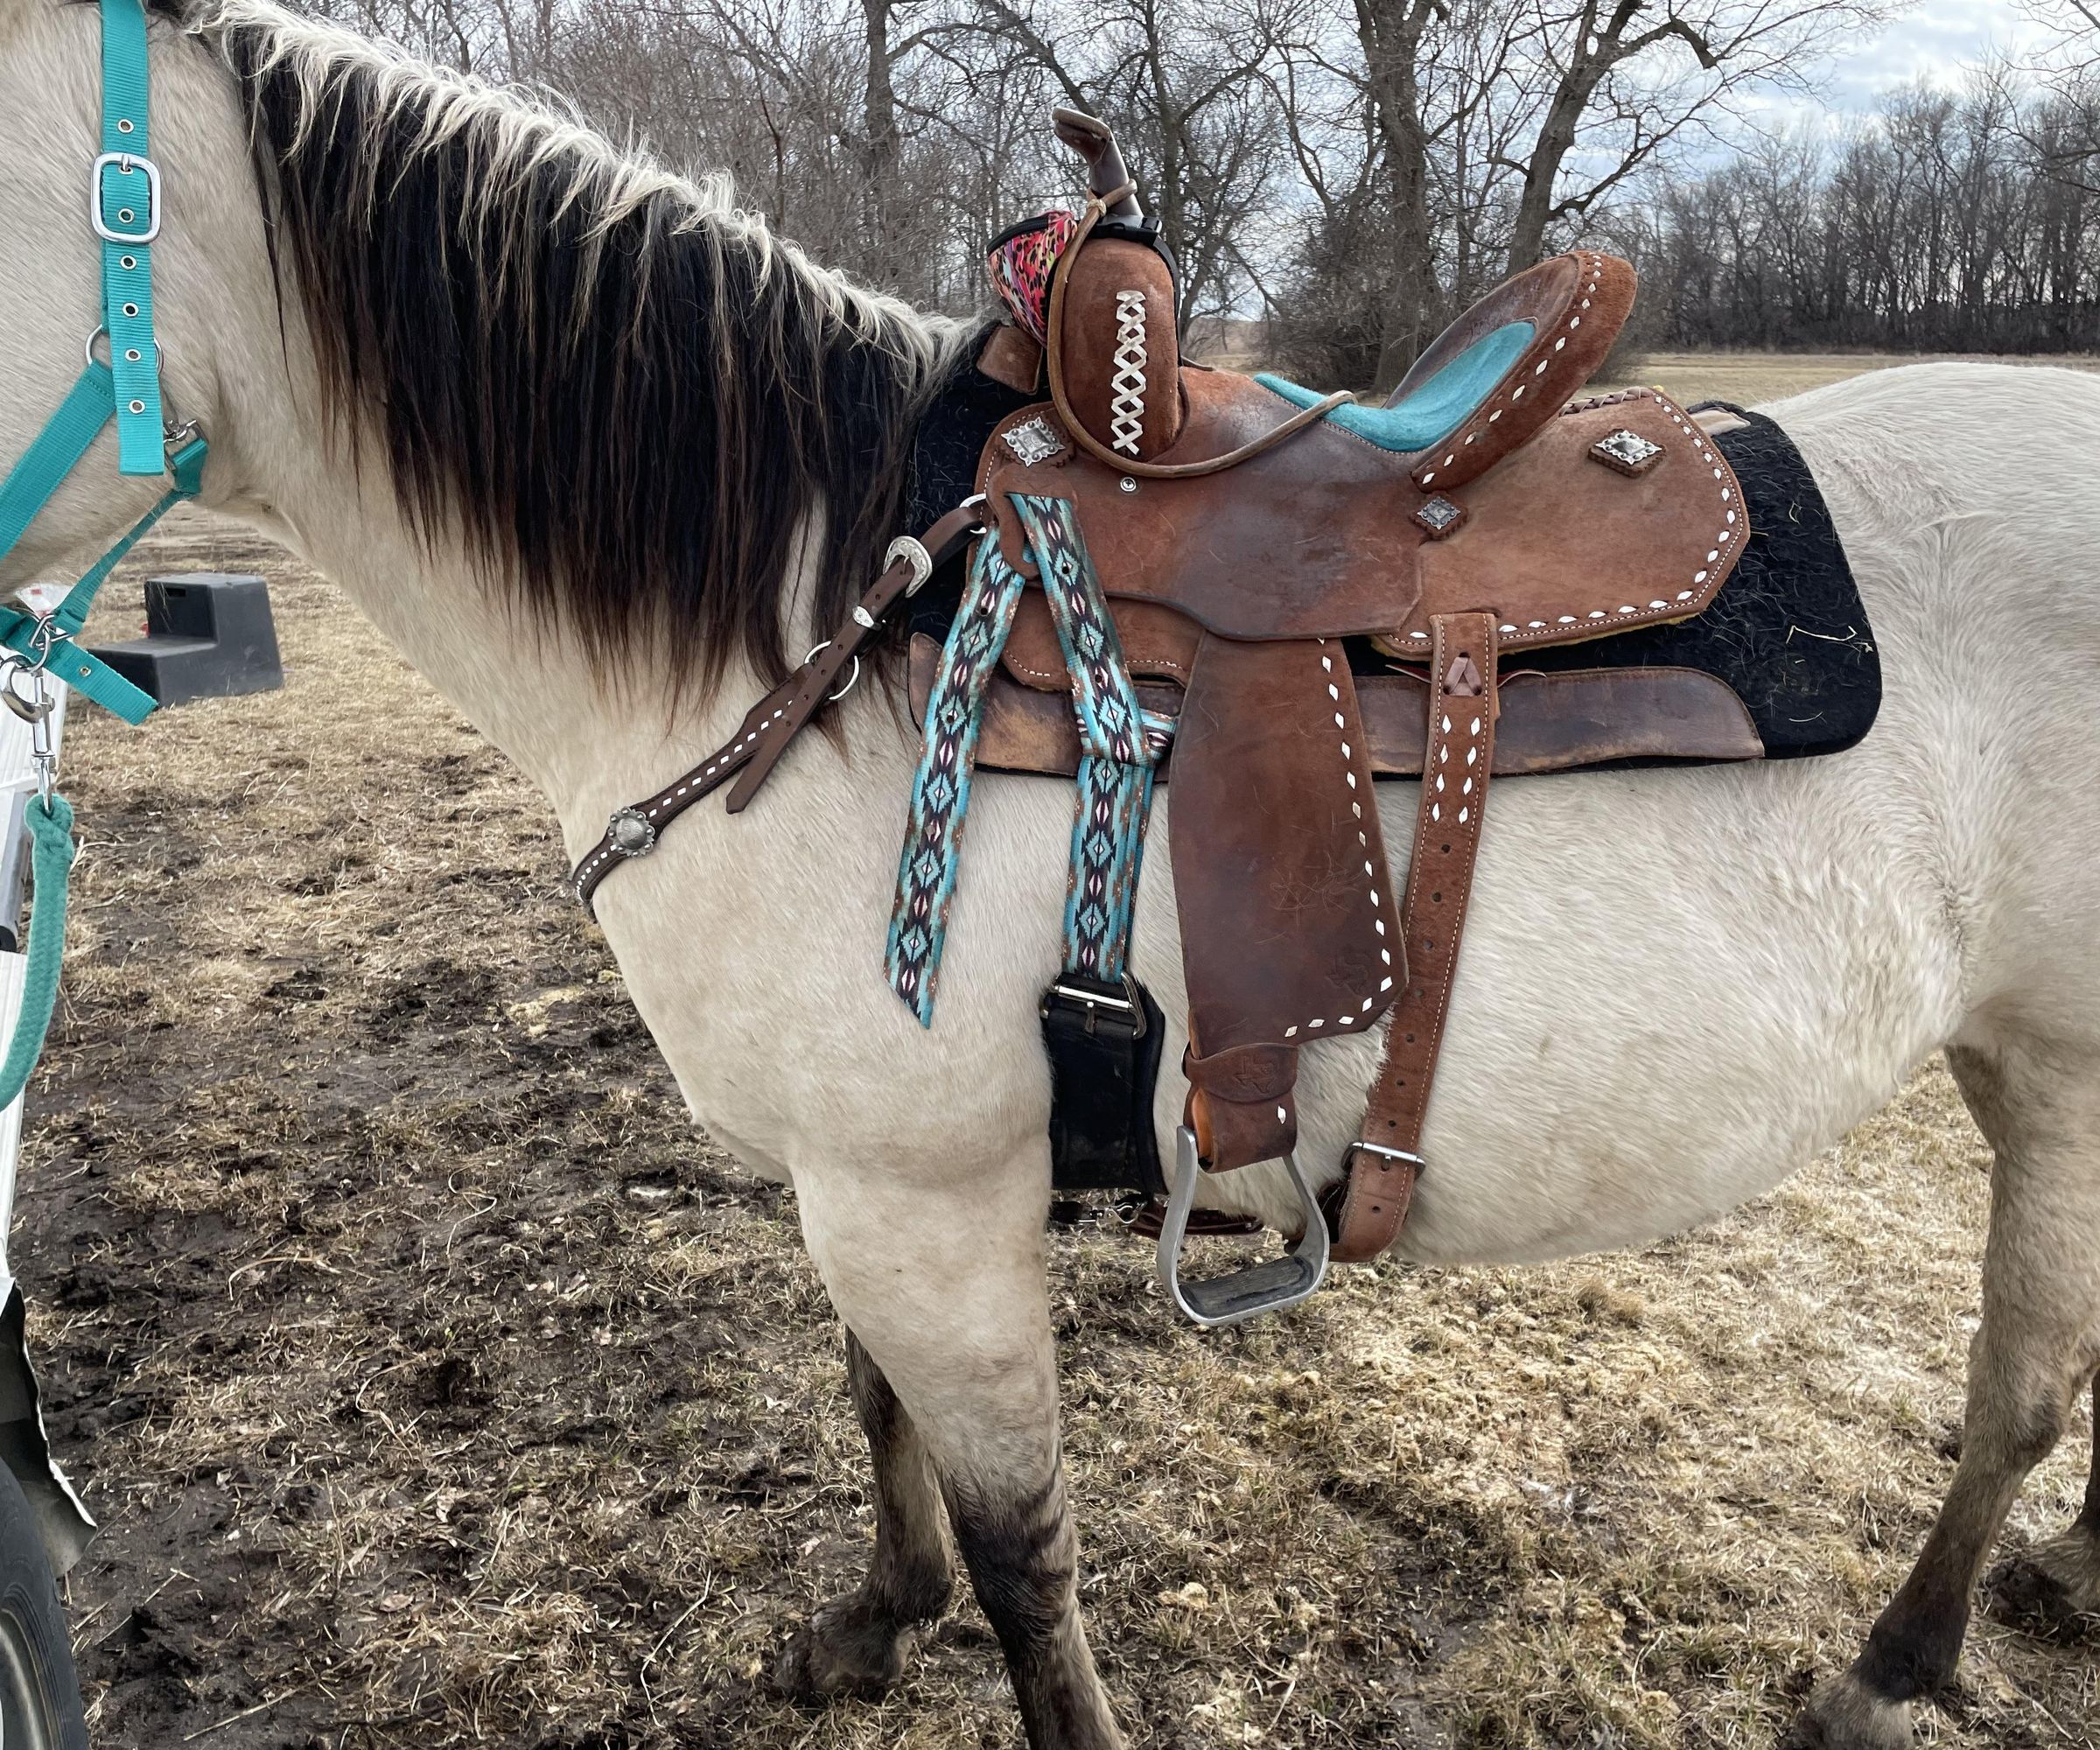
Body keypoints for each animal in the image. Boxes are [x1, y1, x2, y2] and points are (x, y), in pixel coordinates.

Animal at [3, 3, 2099, 1745]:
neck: (815, 625)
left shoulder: (923, 1205)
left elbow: (1029, 1561)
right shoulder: (859, 1190)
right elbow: (876, 1406)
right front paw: (874, 1617)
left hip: (2067, 1074)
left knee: (2022, 1381)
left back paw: (1896, 1665)